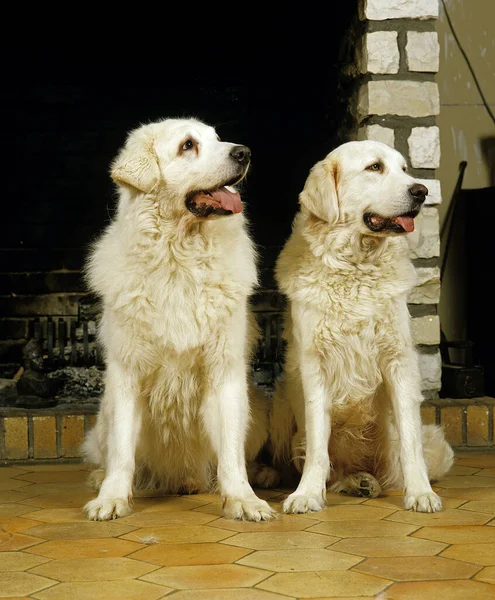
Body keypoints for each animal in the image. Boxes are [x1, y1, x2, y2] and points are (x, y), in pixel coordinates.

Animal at [85, 116, 280, 520]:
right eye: (188, 145)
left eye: (218, 138)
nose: (244, 152)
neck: (180, 257)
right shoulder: (127, 373)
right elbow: (122, 451)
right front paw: (112, 497)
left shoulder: (224, 371)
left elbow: (231, 456)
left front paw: (244, 499)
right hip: (102, 414)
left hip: (257, 408)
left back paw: (262, 474)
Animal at [272, 142, 454, 516]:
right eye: (374, 167)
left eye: (404, 169)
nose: (421, 191)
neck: (356, 265)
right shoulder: (314, 366)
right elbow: (317, 445)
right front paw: (306, 494)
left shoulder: (400, 362)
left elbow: (411, 441)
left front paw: (421, 492)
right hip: (279, 405)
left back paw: (362, 481)